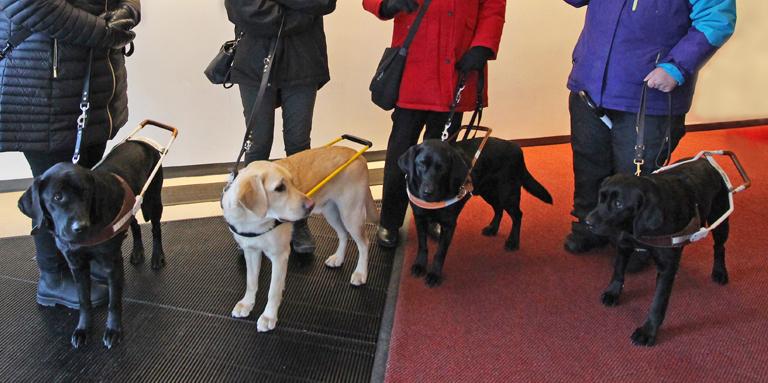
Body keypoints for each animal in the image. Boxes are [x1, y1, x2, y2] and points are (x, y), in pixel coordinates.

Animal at [18, 142, 165, 352]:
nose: (80, 227)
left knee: (156, 228)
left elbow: (114, 302)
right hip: (133, 205)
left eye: (86, 193)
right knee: (135, 226)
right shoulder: (77, 266)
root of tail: (142, 142)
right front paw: (83, 329)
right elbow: (84, 301)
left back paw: (157, 257)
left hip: (154, 198)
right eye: (57, 197)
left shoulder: (112, 263)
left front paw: (113, 331)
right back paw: (137, 252)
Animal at [222, 147, 378, 332]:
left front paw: (268, 316)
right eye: (280, 188)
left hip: (351, 214)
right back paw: (338, 258)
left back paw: (360, 273)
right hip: (330, 211)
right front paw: (247, 304)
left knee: (364, 243)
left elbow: (273, 290)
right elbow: (251, 281)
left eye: (292, 182)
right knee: (343, 234)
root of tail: (356, 153)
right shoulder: (251, 251)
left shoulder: (280, 256)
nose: (310, 205)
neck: (253, 220)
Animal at [402, 138, 552, 288]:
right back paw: (492, 229)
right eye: (421, 164)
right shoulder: (419, 218)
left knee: (518, 215)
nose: (427, 193)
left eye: (442, 168)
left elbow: (440, 253)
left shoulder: (449, 225)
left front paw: (434, 274)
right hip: (488, 192)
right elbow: (422, 245)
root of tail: (517, 148)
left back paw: (513, 241)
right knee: (499, 209)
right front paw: (420, 265)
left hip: (507, 193)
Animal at [588, 159, 732, 348]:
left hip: (721, 220)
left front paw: (648, 331)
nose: (587, 222)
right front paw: (613, 293)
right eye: (601, 197)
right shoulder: (624, 244)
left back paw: (720, 272)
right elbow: (618, 272)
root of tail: (705, 160)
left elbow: (658, 302)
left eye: (618, 203)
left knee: (719, 248)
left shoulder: (666, 268)